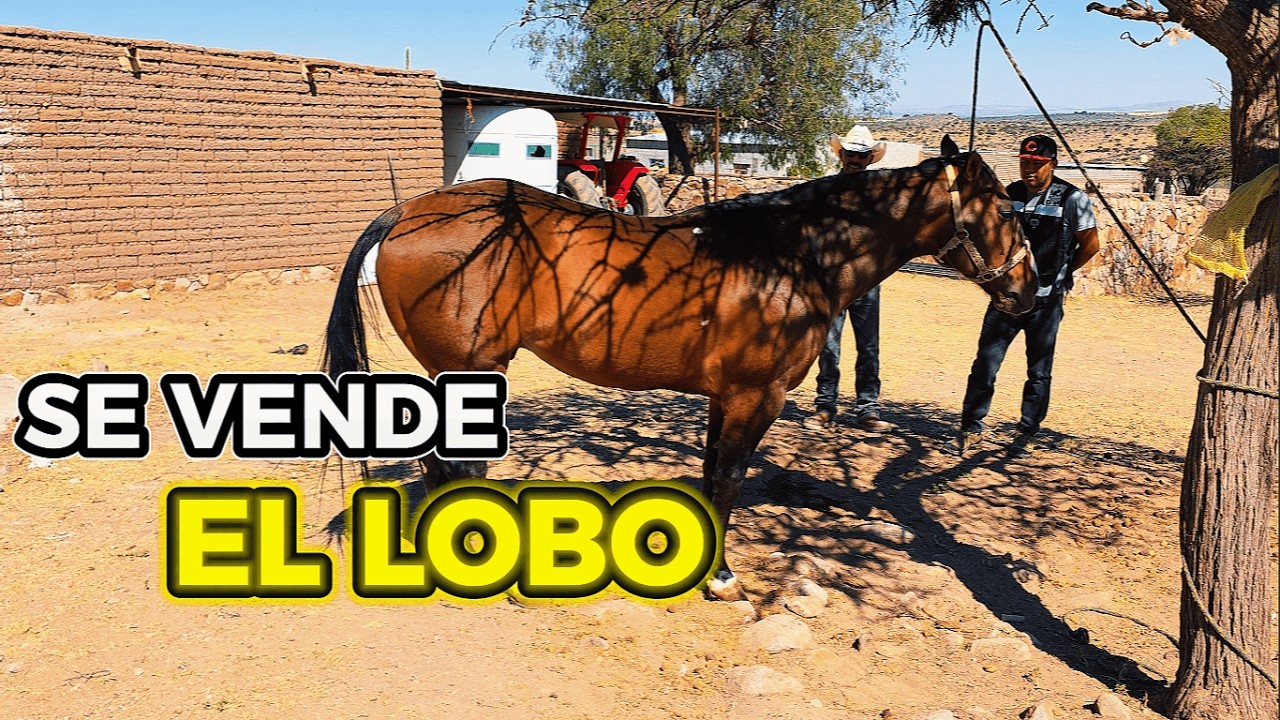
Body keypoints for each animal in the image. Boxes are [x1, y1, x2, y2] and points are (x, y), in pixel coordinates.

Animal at [322, 134, 1036, 601]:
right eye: (1005, 209)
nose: (1030, 291)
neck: (794, 253)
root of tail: (410, 211)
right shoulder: (756, 396)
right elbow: (728, 479)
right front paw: (719, 578)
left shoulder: (726, 397)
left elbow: (710, 472)